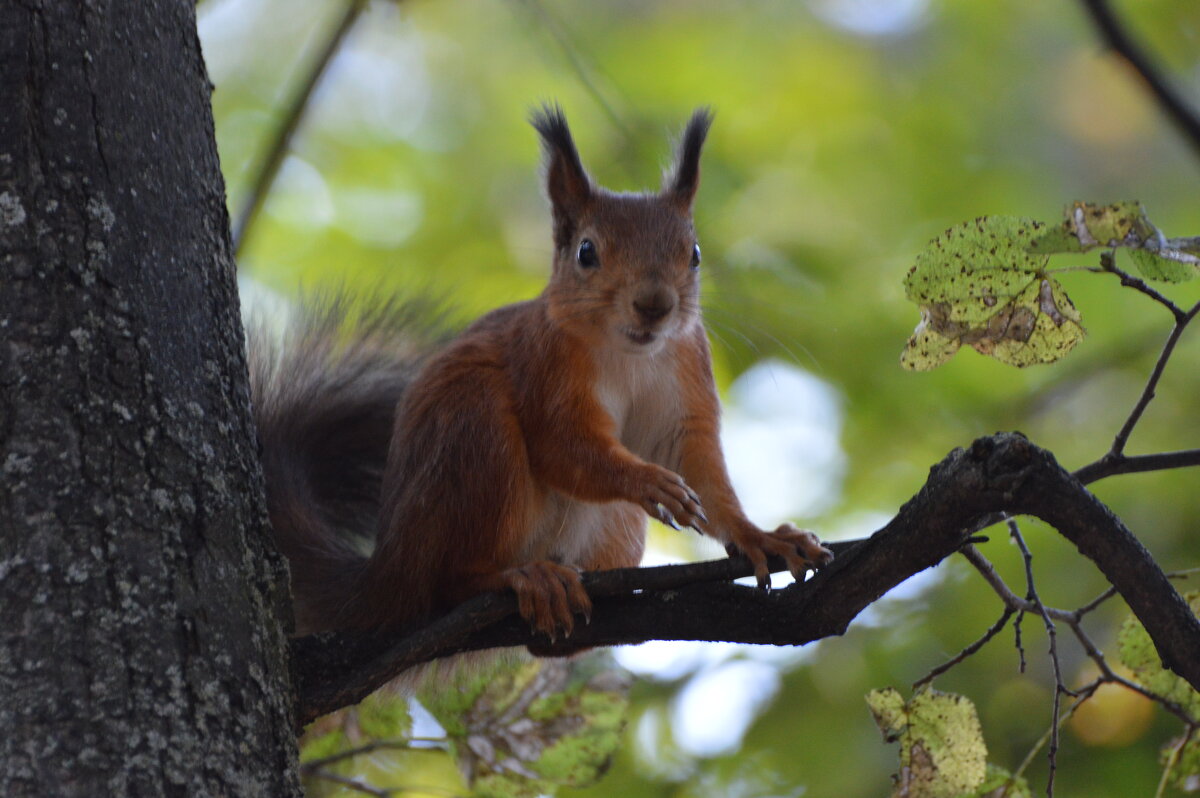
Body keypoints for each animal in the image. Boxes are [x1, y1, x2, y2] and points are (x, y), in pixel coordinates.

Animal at [250, 105, 835, 643]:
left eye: (693, 254)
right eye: (586, 252)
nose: (654, 305)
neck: (629, 354)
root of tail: (388, 573)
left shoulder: (687, 373)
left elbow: (700, 470)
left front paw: (760, 536)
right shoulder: (544, 365)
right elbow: (564, 445)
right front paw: (646, 481)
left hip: (612, 526)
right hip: (474, 438)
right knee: (449, 582)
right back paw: (520, 577)